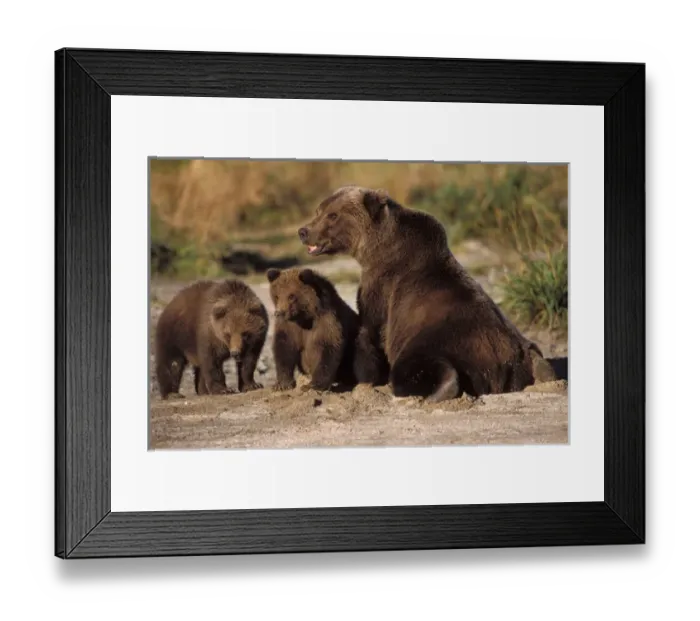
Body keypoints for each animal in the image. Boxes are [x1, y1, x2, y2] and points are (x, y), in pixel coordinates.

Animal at [297, 185, 553, 402]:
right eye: (319, 210)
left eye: (333, 215)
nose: (303, 231)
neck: (376, 248)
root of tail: (500, 363)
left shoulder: (382, 286)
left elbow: (370, 329)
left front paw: (366, 379)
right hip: (522, 349)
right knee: (537, 356)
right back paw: (546, 373)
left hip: (441, 342)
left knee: (421, 366)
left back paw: (439, 390)